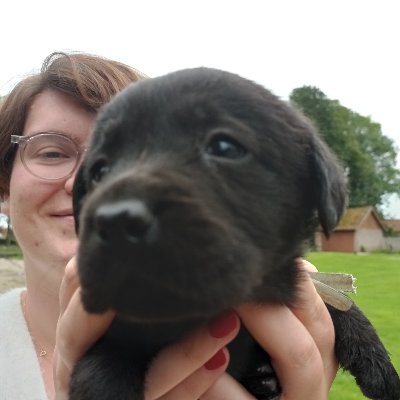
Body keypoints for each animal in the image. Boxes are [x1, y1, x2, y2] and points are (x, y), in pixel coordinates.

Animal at [72, 67, 400, 398]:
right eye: (99, 171)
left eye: (225, 148)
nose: (115, 221)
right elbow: (100, 374)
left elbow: (339, 303)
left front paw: (380, 366)